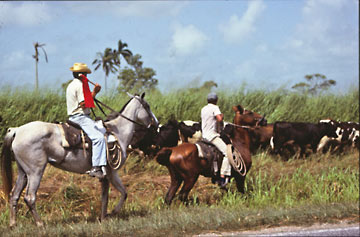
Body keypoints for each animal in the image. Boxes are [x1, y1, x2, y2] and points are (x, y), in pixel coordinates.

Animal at [0, 92, 158, 228]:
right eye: (147, 106)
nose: (156, 124)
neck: (117, 133)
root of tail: (17, 130)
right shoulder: (111, 172)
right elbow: (118, 194)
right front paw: (111, 213)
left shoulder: (108, 175)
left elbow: (112, 195)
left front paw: (105, 216)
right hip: (35, 172)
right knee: (30, 197)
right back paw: (40, 223)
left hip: (23, 172)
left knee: (14, 195)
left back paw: (13, 224)